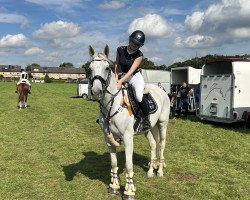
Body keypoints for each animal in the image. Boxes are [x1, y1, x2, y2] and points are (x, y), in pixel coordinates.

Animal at [88, 45, 170, 200]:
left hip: (162, 124)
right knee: (153, 144)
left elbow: (128, 165)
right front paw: (114, 187)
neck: (112, 104)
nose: (96, 92)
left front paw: (129, 191)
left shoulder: (127, 138)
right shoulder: (108, 139)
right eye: (90, 68)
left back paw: (160, 170)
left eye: (107, 68)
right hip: (149, 129)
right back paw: (151, 170)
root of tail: (161, 90)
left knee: (161, 144)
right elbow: (114, 163)